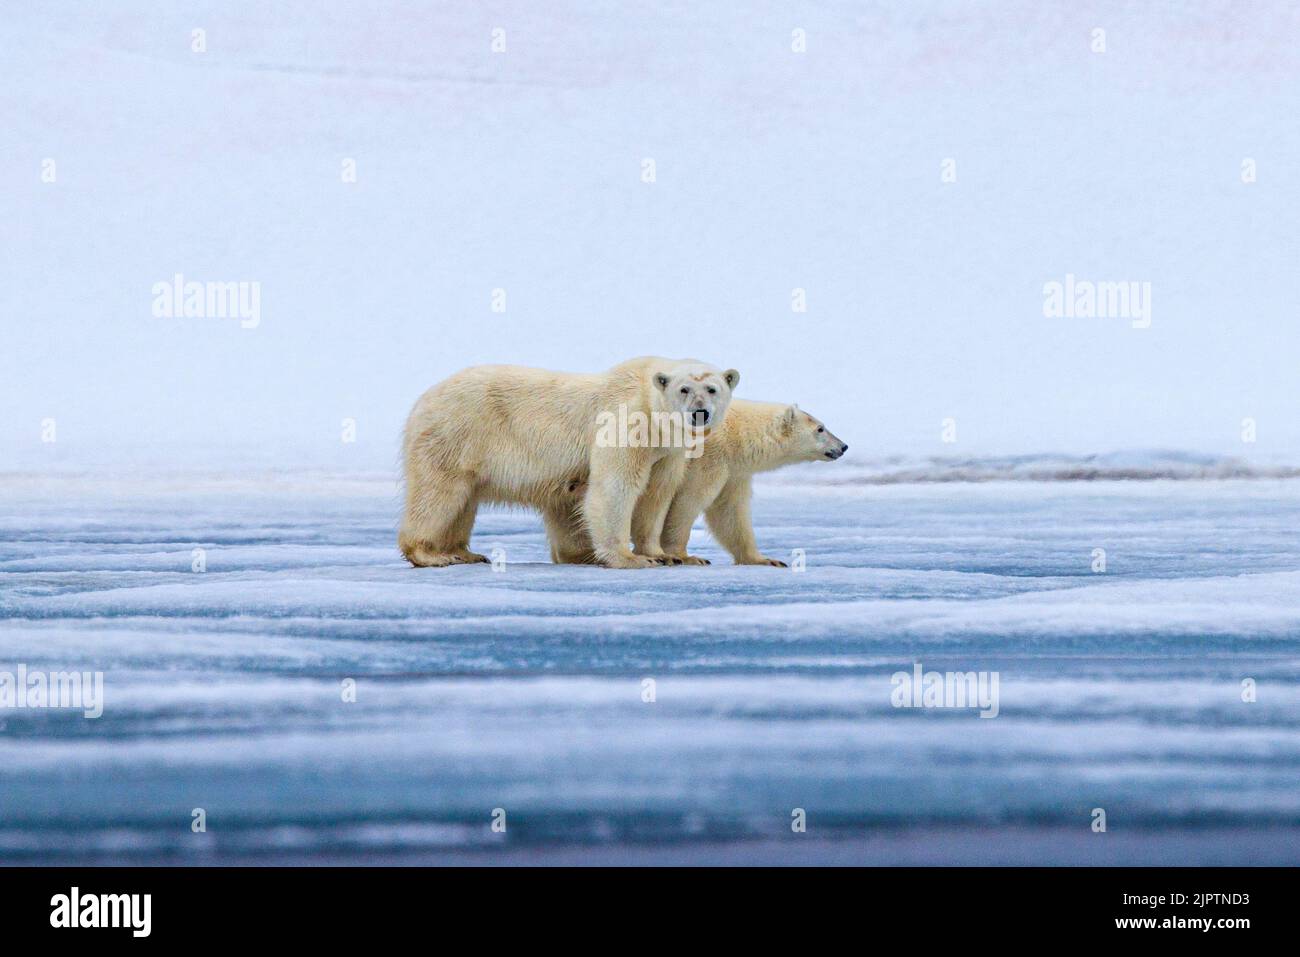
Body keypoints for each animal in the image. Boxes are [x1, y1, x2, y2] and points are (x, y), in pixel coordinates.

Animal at [395, 356, 743, 566]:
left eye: (712, 388)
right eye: (684, 389)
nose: (700, 412)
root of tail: (422, 400)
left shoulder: (667, 451)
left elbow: (656, 496)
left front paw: (668, 556)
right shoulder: (625, 423)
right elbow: (615, 488)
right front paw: (630, 558)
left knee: (462, 502)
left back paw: (463, 552)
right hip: (455, 435)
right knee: (437, 495)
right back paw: (429, 554)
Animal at [655, 397, 847, 564]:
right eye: (820, 428)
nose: (843, 446)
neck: (736, 432)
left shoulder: (732, 471)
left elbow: (729, 511)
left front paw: (765, 560)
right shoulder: (707, 458)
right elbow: (688, 500)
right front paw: (686, 557)